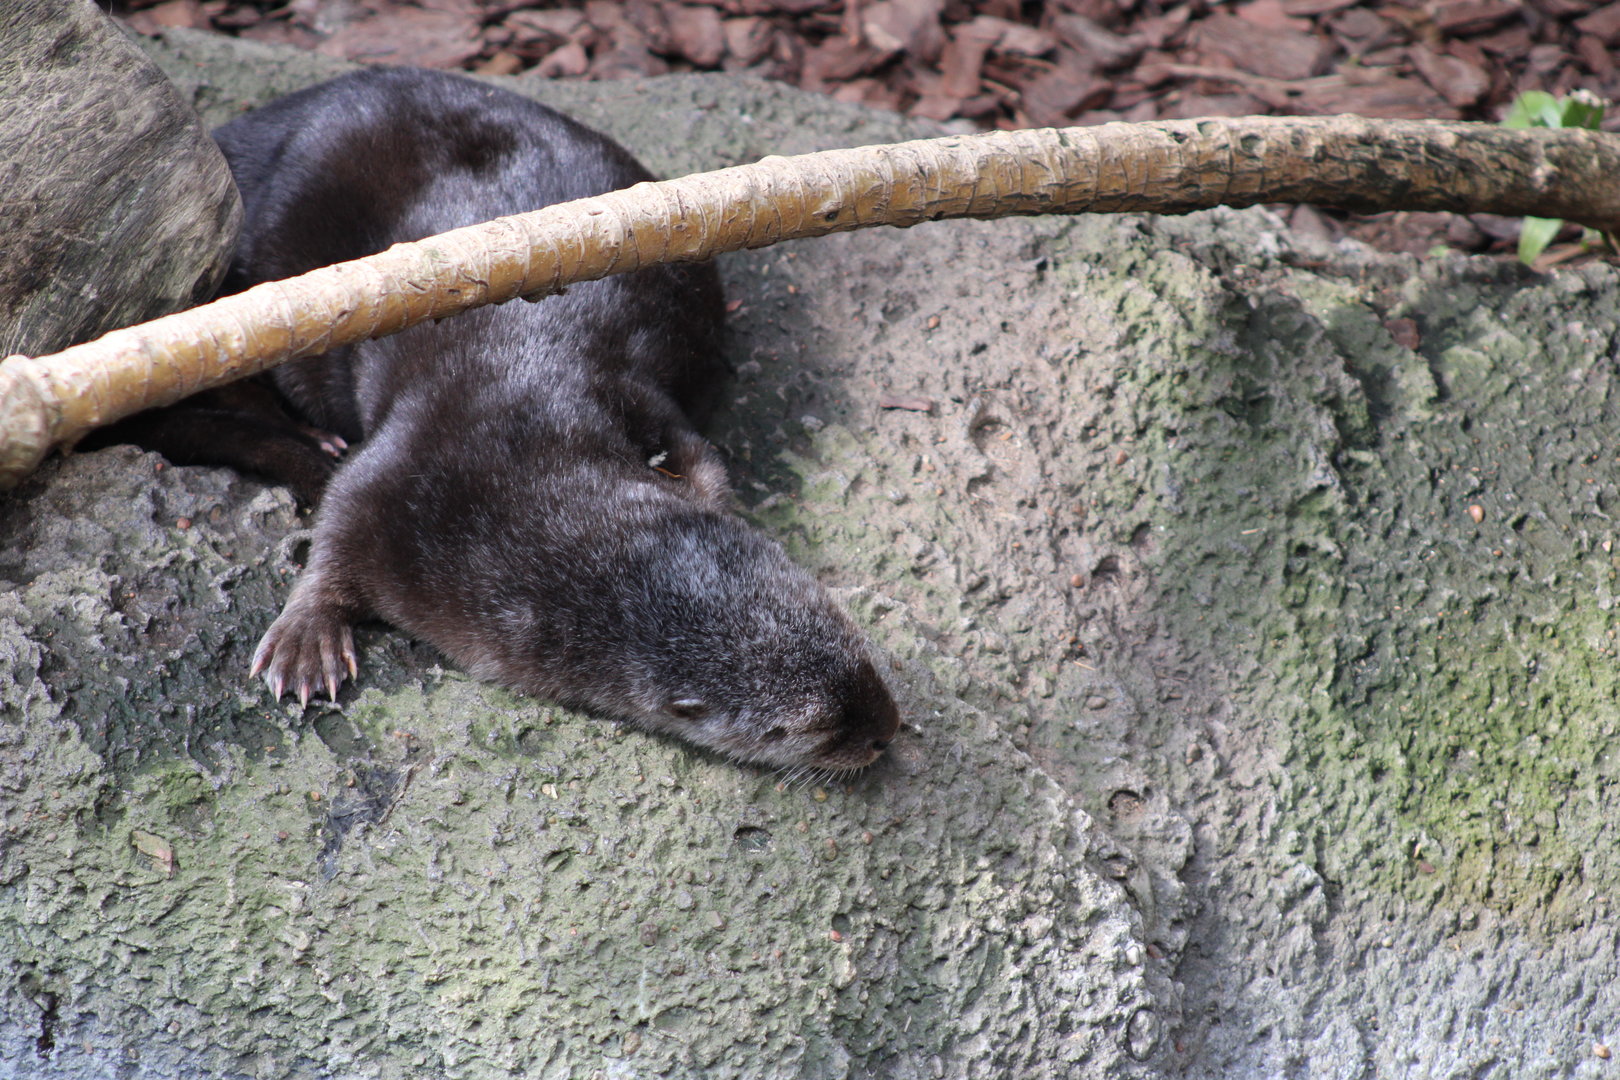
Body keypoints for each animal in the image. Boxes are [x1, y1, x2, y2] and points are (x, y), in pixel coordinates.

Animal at [199, 68, 898, 772]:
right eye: (805, 728)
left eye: (850, 636)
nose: (886, 728)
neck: (527, 462)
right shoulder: (403, 480)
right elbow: (338, 524)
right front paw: (305, 638)